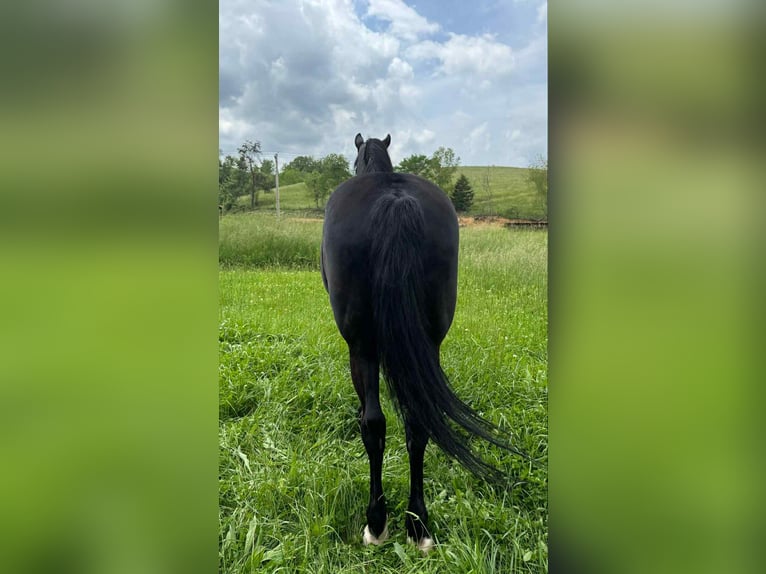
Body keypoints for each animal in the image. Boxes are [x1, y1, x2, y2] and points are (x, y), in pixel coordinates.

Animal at [320, 133, 513, 553]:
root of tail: (395, 201)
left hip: (361, 346)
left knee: (374, 425)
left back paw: (377, 524)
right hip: (429, 342)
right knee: (418, 422)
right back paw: (418, 525)